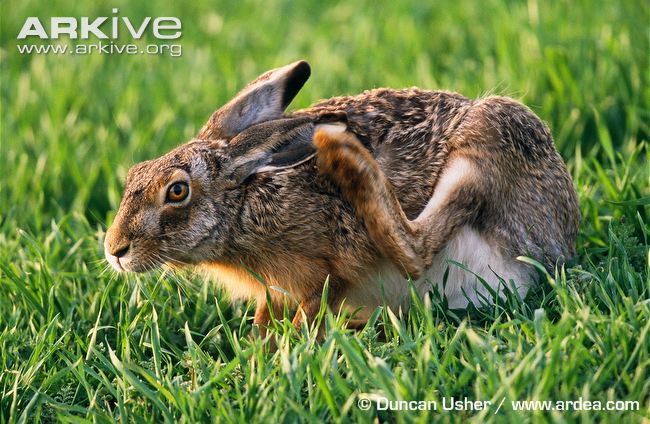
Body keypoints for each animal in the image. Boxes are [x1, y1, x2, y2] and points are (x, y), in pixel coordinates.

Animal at [104, 60, 580, 334]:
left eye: (177, 191)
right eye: (134, 173)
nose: (114, 250)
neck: (242, 203)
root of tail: (559, 246)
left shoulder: (330, 264)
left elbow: (316, 302)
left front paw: (283, 353)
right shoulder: (275, 289)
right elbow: (266, 316)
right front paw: (259, 347)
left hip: (491, 135)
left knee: (415, 251)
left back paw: (345, 155)